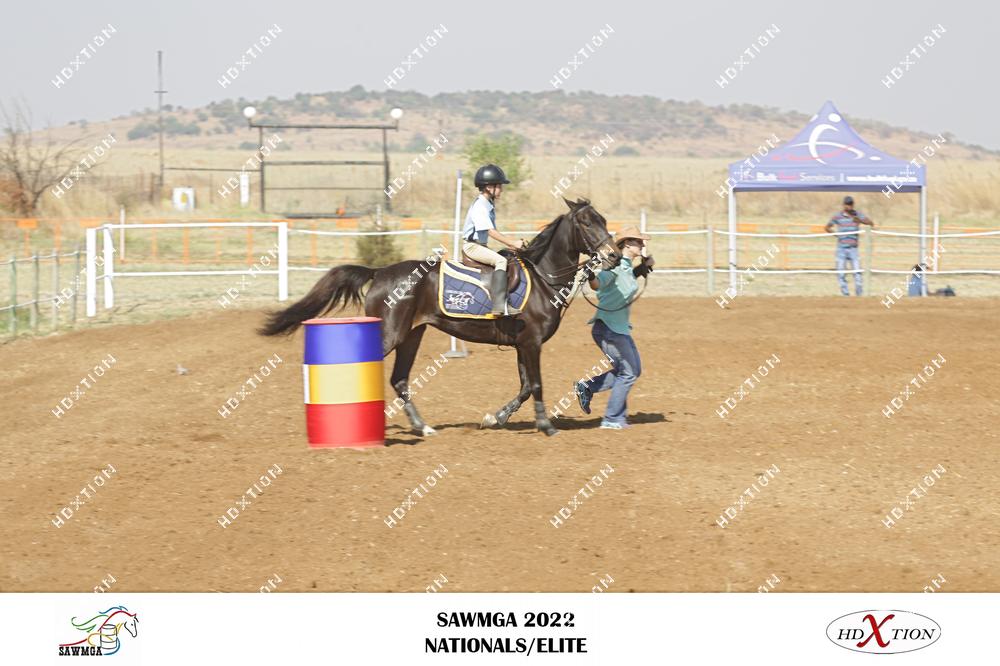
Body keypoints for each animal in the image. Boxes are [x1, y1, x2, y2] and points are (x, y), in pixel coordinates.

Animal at [259, 198, 619, 437]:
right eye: (587, 223)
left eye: (603, 219)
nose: (614, 256)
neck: (545, 277)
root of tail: (379, 272)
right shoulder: (531, 343)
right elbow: (536, 384)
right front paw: (545, 426)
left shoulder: (522, 345)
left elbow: (526, 386)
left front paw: (495, 418)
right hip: (390, 335)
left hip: (412, 335)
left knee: (399, 379)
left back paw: (422, 427)